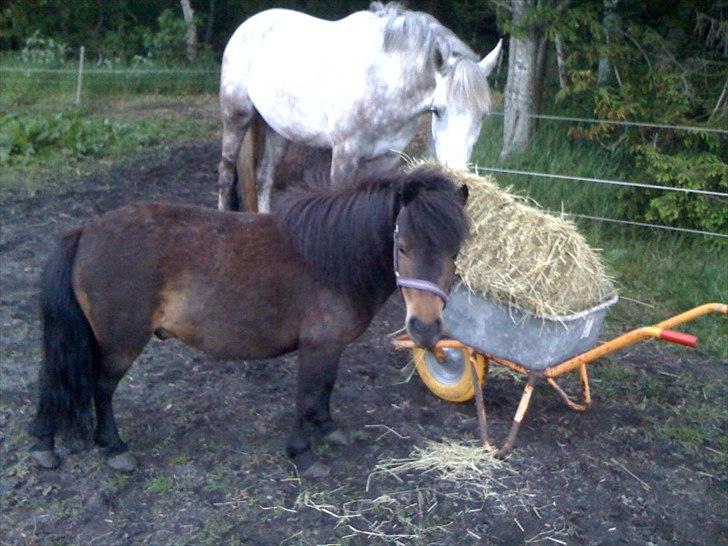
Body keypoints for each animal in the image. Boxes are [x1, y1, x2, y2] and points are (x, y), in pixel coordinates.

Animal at [29, 164, 466, 474]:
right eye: (402, 246)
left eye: (455, 251)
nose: (426, 329)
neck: (329, 258)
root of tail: (86, 230)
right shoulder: (317, 345)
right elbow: (307, 395)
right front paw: (303, 453)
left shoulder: (331, 346)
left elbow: (324, 389)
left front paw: (328, 428)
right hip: (121, 342)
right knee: (100, 386)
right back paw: (110, 446)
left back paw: (47, 444)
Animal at [216, 1, 500, 210]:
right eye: (437, 111)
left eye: (483, 116)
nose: (457, 173)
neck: (384, 80)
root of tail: (250, 24)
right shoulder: (345, 156)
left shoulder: (386, 160)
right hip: (236, 116)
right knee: (226, 175)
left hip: (279, 132)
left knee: (264, 179)